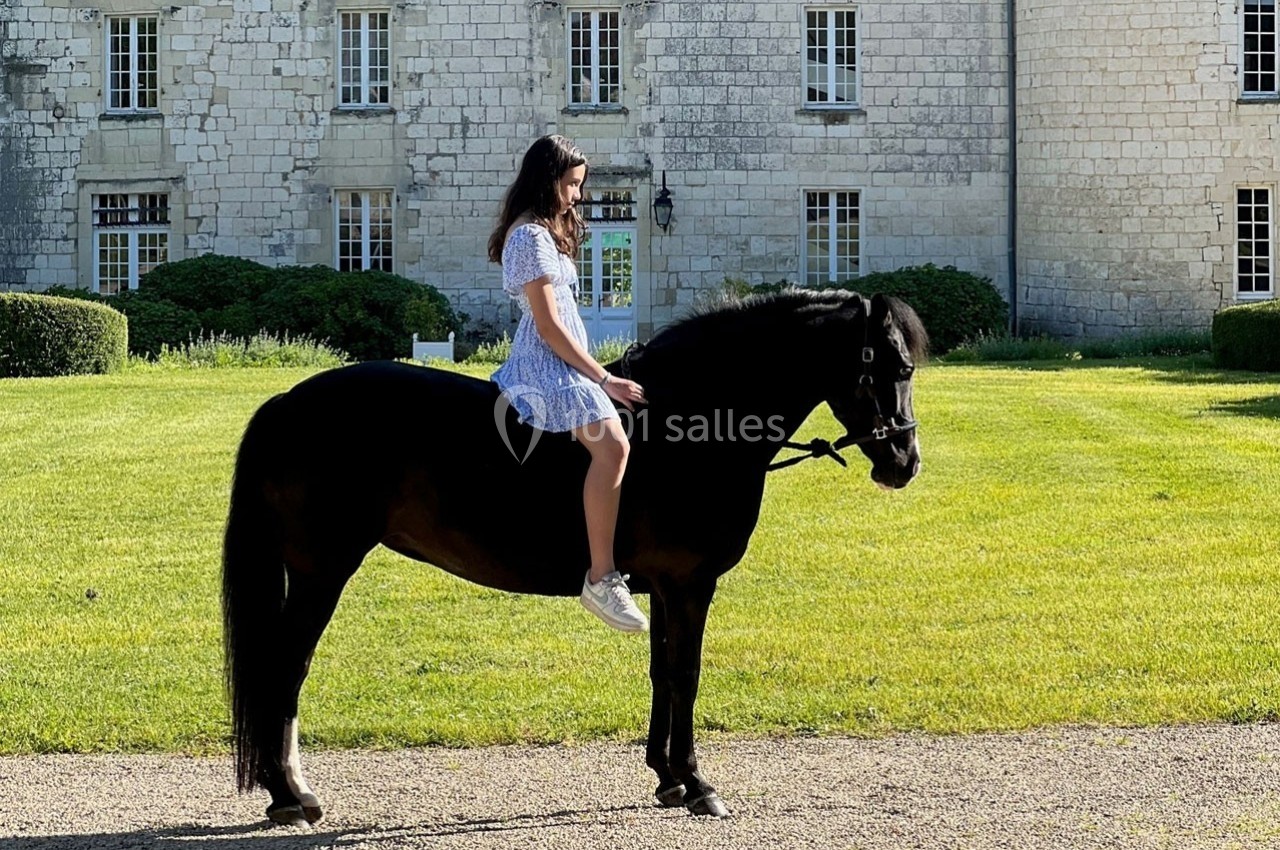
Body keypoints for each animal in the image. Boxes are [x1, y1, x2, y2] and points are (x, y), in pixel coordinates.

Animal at [222, 288, 927, 826]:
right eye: (894, 366)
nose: (905, 462)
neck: (688, 423)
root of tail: (287, 403)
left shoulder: (665, 588)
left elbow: (661, 673)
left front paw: (667, 778)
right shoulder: (689, 585)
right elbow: (686, 675)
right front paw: (698, 784)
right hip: (320, 572)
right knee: (283, 670)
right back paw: (292, 795)